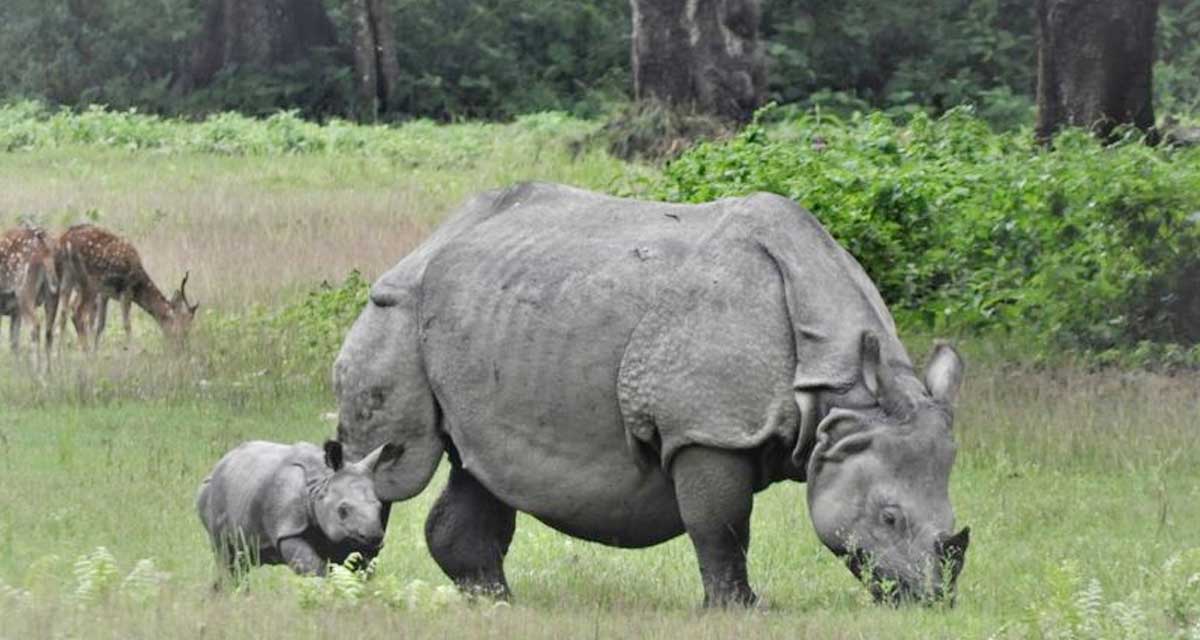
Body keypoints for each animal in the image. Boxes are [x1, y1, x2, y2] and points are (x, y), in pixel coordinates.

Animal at [0, 224, 59, 367]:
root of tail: (46, 249)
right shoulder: (15, 312)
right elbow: (14, 342)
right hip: (53, 294)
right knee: (48, 331)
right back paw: (49, 370)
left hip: (24, 292)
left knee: (35, 326)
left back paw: (36, 369)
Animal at [56, 223, 199, 355]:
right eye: (184, 329)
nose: (182, 348)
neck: (138, 287)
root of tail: (64, 240)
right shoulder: (125, 291)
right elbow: (127, 325)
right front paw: (131, 351)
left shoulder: (105, 294)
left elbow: (100, 325)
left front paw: (96, 352)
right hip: (88, 282)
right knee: (76, 311)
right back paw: (84, 351)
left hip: (68, 280)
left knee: (64, 312)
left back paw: (61, 353)